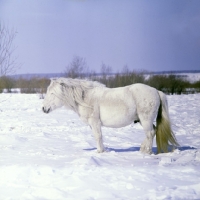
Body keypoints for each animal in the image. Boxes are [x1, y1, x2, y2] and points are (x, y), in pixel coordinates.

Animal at [42, 77, 178, 154]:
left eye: (52, 93)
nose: (44, 109)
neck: (85, 98)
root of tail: (156, 91)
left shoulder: (95, 122)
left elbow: (98, 137)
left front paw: (100, 152)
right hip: (143, 120)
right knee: (153, 131)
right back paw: (142, 149)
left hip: (145, 119)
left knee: (150, 133)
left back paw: (146, 152)